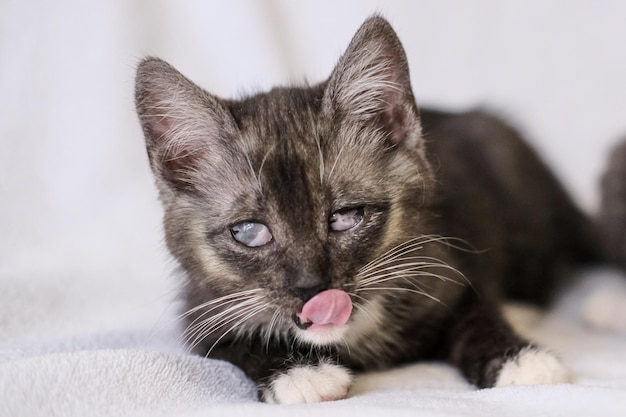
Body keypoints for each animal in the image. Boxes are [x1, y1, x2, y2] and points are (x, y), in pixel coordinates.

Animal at [133, 17, 596, 404]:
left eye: (345, 216)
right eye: (249, 232)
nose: (312, 289)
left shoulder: (443, 260)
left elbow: (475, 308)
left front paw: (521, 361)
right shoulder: (199, 307)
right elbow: (231, 343)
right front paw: (300, 375)